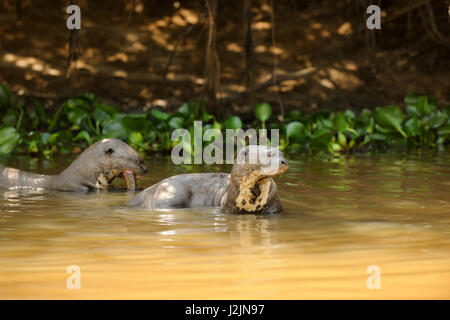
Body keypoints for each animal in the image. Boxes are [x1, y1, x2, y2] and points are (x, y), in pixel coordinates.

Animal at [126, 146, 288, 214]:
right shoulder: (228, 208)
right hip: (171, 195)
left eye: (282, 153)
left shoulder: (274, 208)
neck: (251, 202)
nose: (284, 161)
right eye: (269, 154)